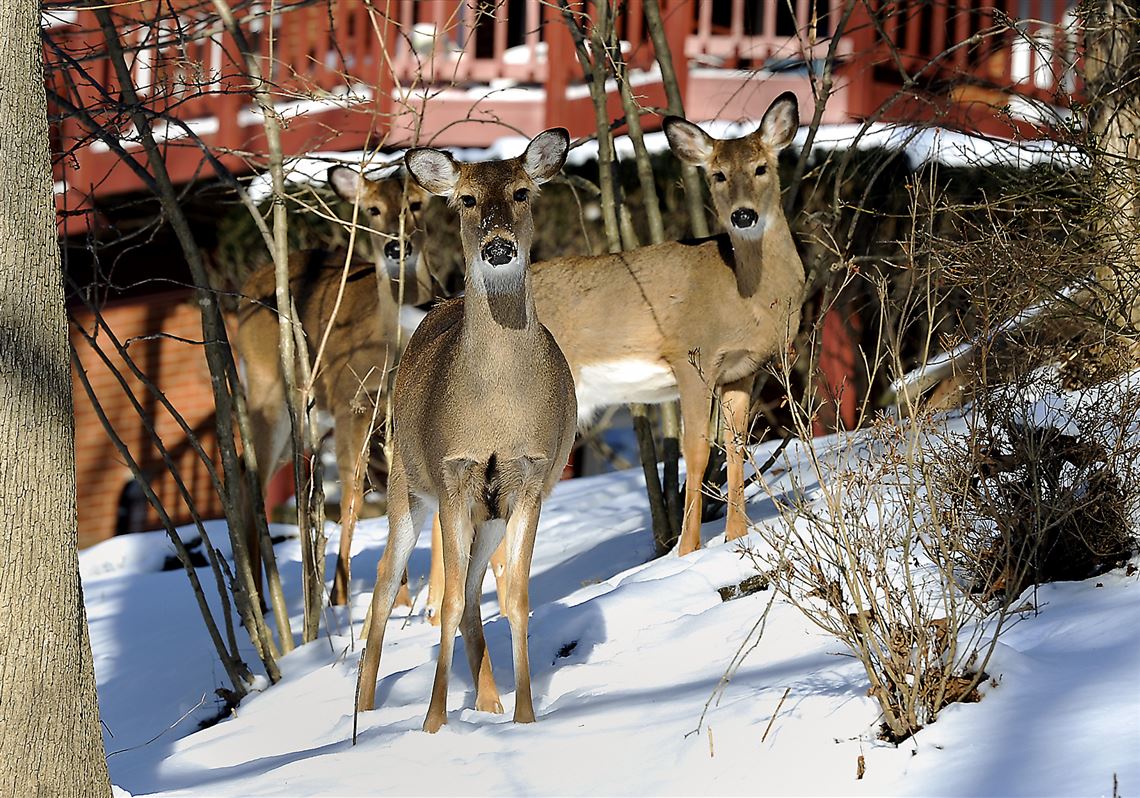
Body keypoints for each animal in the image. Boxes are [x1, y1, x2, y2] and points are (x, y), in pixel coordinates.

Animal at [235, 166, 435, 606]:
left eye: (416, 203)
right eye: (373, 209)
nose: (397, 247)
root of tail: (248, 284)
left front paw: (399, 597)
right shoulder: (351, 403)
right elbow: (352, 496)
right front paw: (341, 596)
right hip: (268, 391)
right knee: (251, 476)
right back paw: (261, 598)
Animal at [357, 127, 579, 734]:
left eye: (523, 192)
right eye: (466, 200)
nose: (497, 246)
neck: (496, 411)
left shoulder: (529, 478)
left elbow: (516, 598)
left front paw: (525, 717)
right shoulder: (453, 473)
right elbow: (448, 600)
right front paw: (432, 725)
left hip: (490, 511)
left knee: (479, 590)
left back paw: (490, 702)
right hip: (407, 487)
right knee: (384, 586)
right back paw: (361, 714)